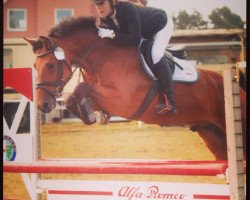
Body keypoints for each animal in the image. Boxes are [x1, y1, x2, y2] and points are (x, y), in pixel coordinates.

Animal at [23, 16, 246, 161]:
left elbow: (81, 89)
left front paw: (90, 115)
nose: (43, 105)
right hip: (211, 132)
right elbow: (77, 95)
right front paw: (94, 114)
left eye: (50, 65)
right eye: (34, 66)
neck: (105, 57)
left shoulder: (124, 101)